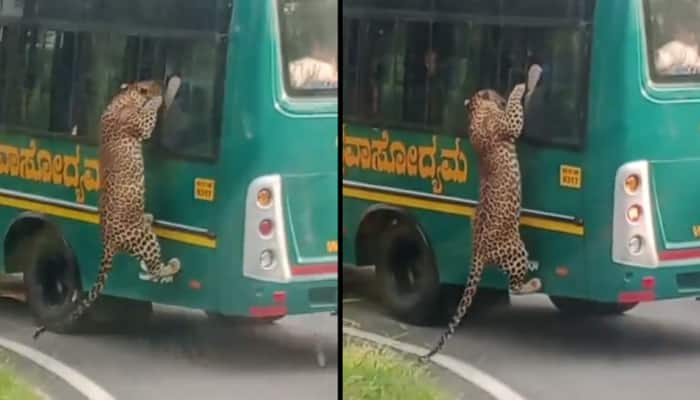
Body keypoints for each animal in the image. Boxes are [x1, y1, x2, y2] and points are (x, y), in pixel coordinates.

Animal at [33, 81, 182, 340]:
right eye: (150, 84)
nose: (159, 84)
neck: (122, 97)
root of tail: (107, 242)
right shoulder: (139, 125)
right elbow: (148, 117)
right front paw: (159, 97)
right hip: (144, 238)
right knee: (154, 268)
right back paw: (172, 265)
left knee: (149, 267)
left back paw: (149, 219)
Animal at [418, 83, 544, 360]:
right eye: (495, 93)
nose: (501, 94)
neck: (475, 112)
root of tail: (477, 251)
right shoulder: (508, 124)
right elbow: (515, 115)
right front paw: (519, 88)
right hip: (516, 248)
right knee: (514, 286)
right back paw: (534, 281)